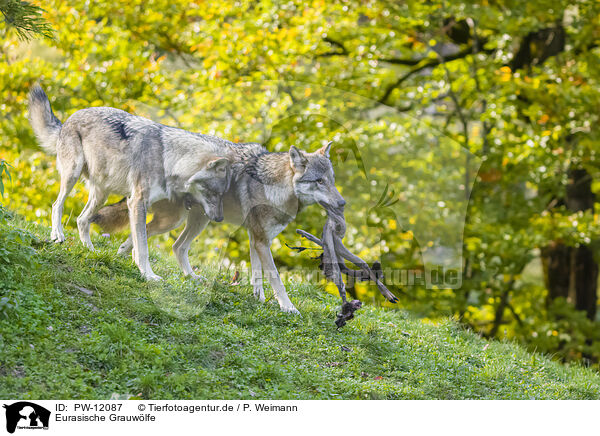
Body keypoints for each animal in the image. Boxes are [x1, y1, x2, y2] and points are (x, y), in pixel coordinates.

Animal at [29, 86, 233, 280]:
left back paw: (90, 250)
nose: (219, 218)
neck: (168, 158)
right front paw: (149, 276)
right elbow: (142, 247)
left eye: (223, 194)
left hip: (102, 195)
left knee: (81, 219)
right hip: (73, 175)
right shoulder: (137, 202)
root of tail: (68, 119)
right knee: (57, 205)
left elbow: (136, 243)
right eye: (215, 193)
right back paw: (58, 235)